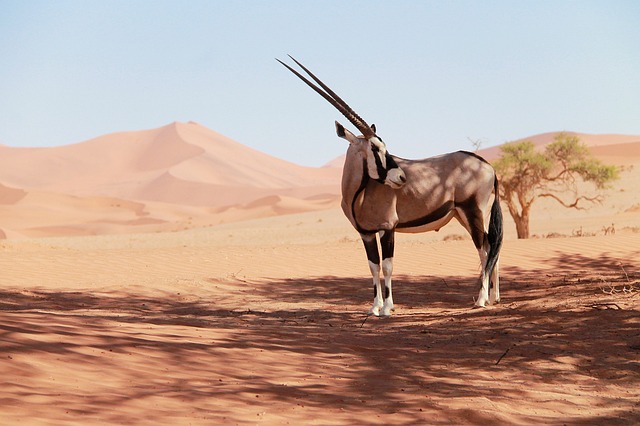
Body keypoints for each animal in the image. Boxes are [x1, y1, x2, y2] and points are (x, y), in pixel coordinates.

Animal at [280, 55, 504, 316]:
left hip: (473, 212)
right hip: (462, 215)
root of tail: (488, 166)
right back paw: (494, 298)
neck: (358, 194)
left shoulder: (388, 228)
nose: (401, 178)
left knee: (484, 249)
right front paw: (374, 307)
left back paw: (481, 299)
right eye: (375, 147)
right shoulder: (366, 233)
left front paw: (387, 308)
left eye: (384, 146)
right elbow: (373, 266)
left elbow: (387, 266)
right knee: (490, 246)